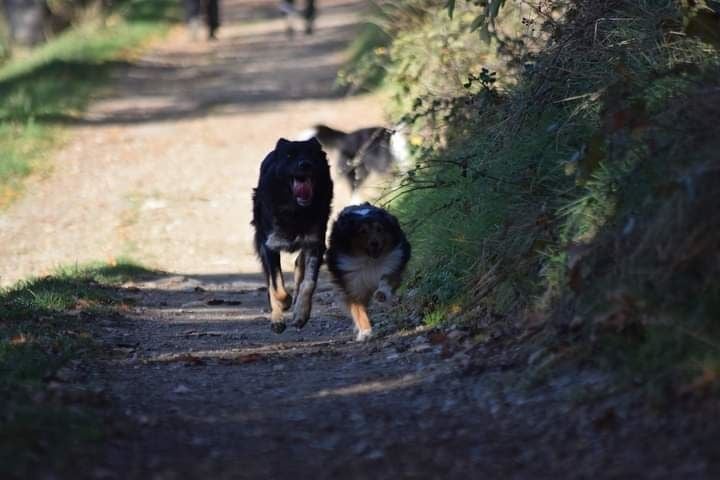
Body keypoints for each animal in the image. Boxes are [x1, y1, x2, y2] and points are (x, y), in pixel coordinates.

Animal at [252, 138, 334, 334]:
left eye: (311, 154)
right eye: (289, 155)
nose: (305, 164)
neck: (296, 211)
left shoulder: (315, 244)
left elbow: (308, 283)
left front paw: (301, 314)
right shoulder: (269, 246)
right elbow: (276, 286)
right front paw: (283, 305)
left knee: (299, 264)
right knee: (270, 282)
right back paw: (277, 318)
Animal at [326, 202, 410, 342]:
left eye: (379, 229)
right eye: (362, 232)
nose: (374, 243)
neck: (369, 261)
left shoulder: (393, 264)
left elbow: (387, 280)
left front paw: (381, 294)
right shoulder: (353, 284)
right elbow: (359, 311)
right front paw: (365, 333)